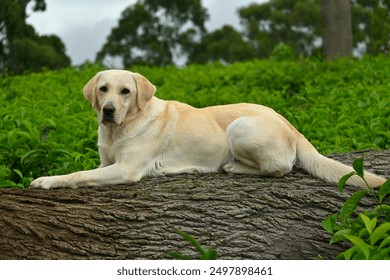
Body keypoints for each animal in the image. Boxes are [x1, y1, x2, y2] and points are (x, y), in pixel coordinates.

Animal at [30, 69, 386, 189]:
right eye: (103, 89)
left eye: (125, 92)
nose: (108, 110)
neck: (120, 129)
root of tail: (291, 125)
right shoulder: (107, 162)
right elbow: (87, 169)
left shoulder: (126, 168)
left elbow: (77, 175)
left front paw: (46, 180)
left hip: (239, 128)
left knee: (279, 168)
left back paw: (233, 167)